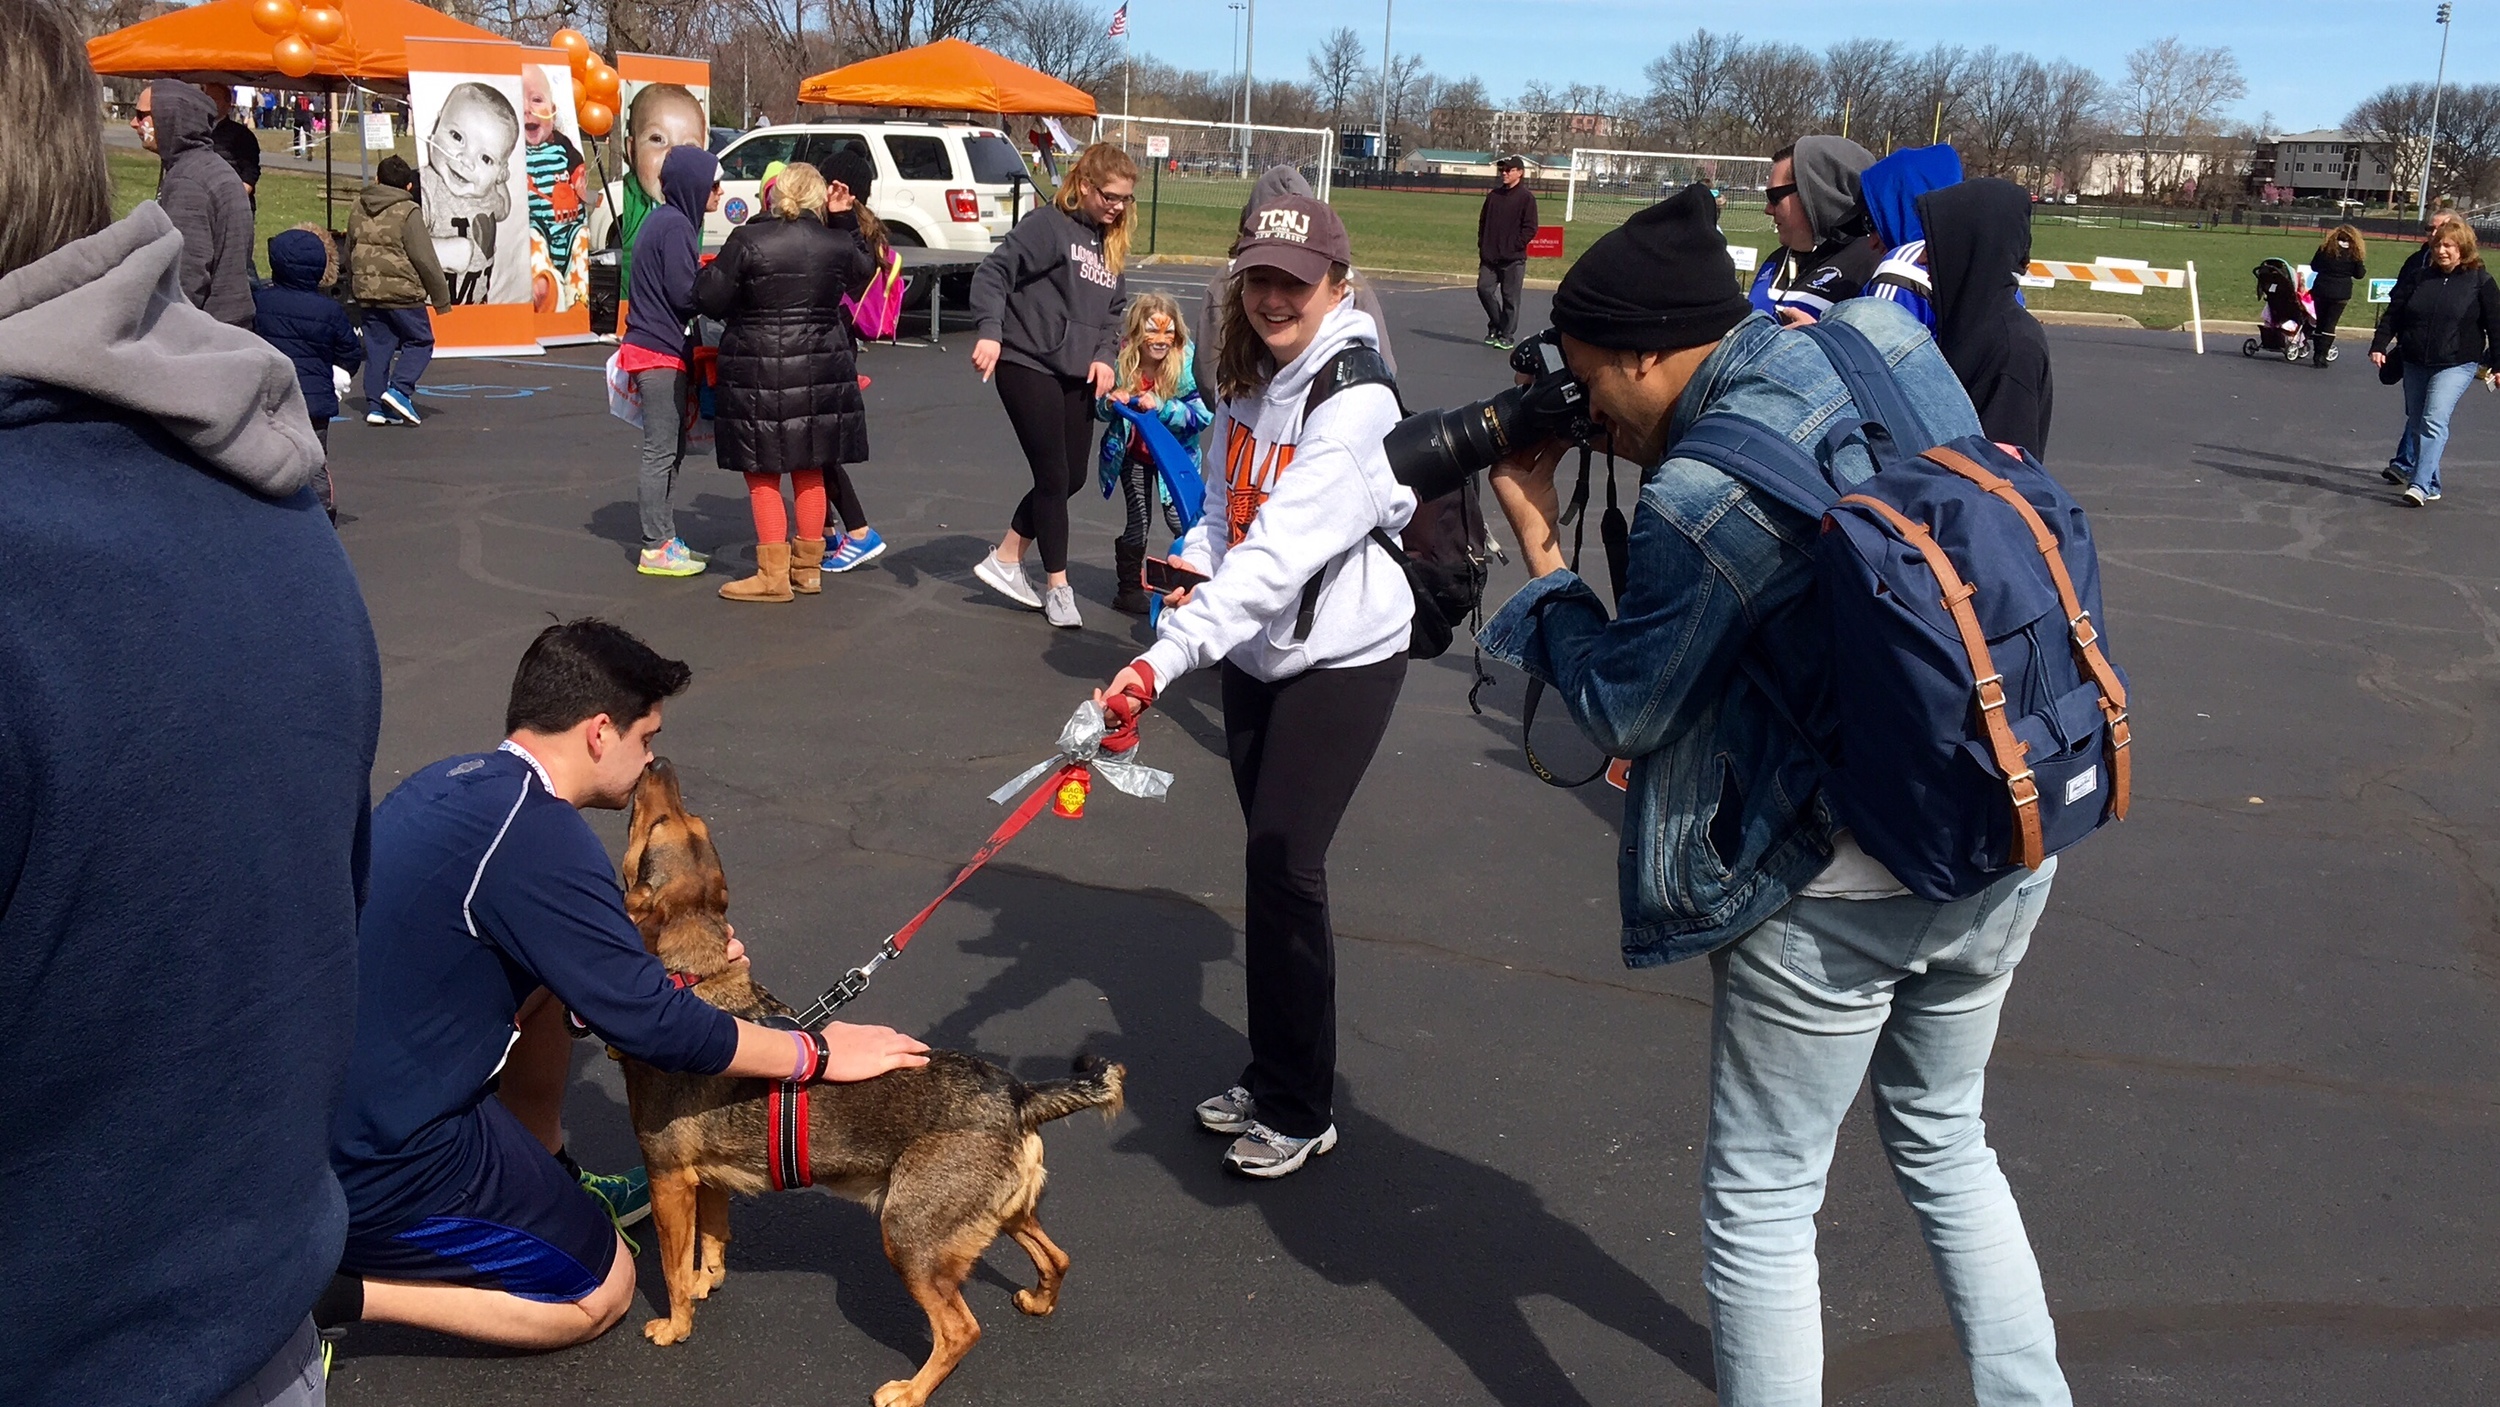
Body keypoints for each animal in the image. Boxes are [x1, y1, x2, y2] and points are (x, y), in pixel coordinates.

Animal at [615, 759, 1125, 1407]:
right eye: (688, 819)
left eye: (655, 826)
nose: (657, 763)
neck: (696, 980)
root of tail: (1019, 1096)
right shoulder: (705, 1179)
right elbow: (712, 1242)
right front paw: (710, 1282)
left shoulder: (668, 1180)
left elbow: (672, 1267)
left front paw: (676, 1325)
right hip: (998, 1215)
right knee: (1056, 1257)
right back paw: (1038, 1301)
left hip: (908, 1237)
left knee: (961, 1329)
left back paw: (910, 1391)